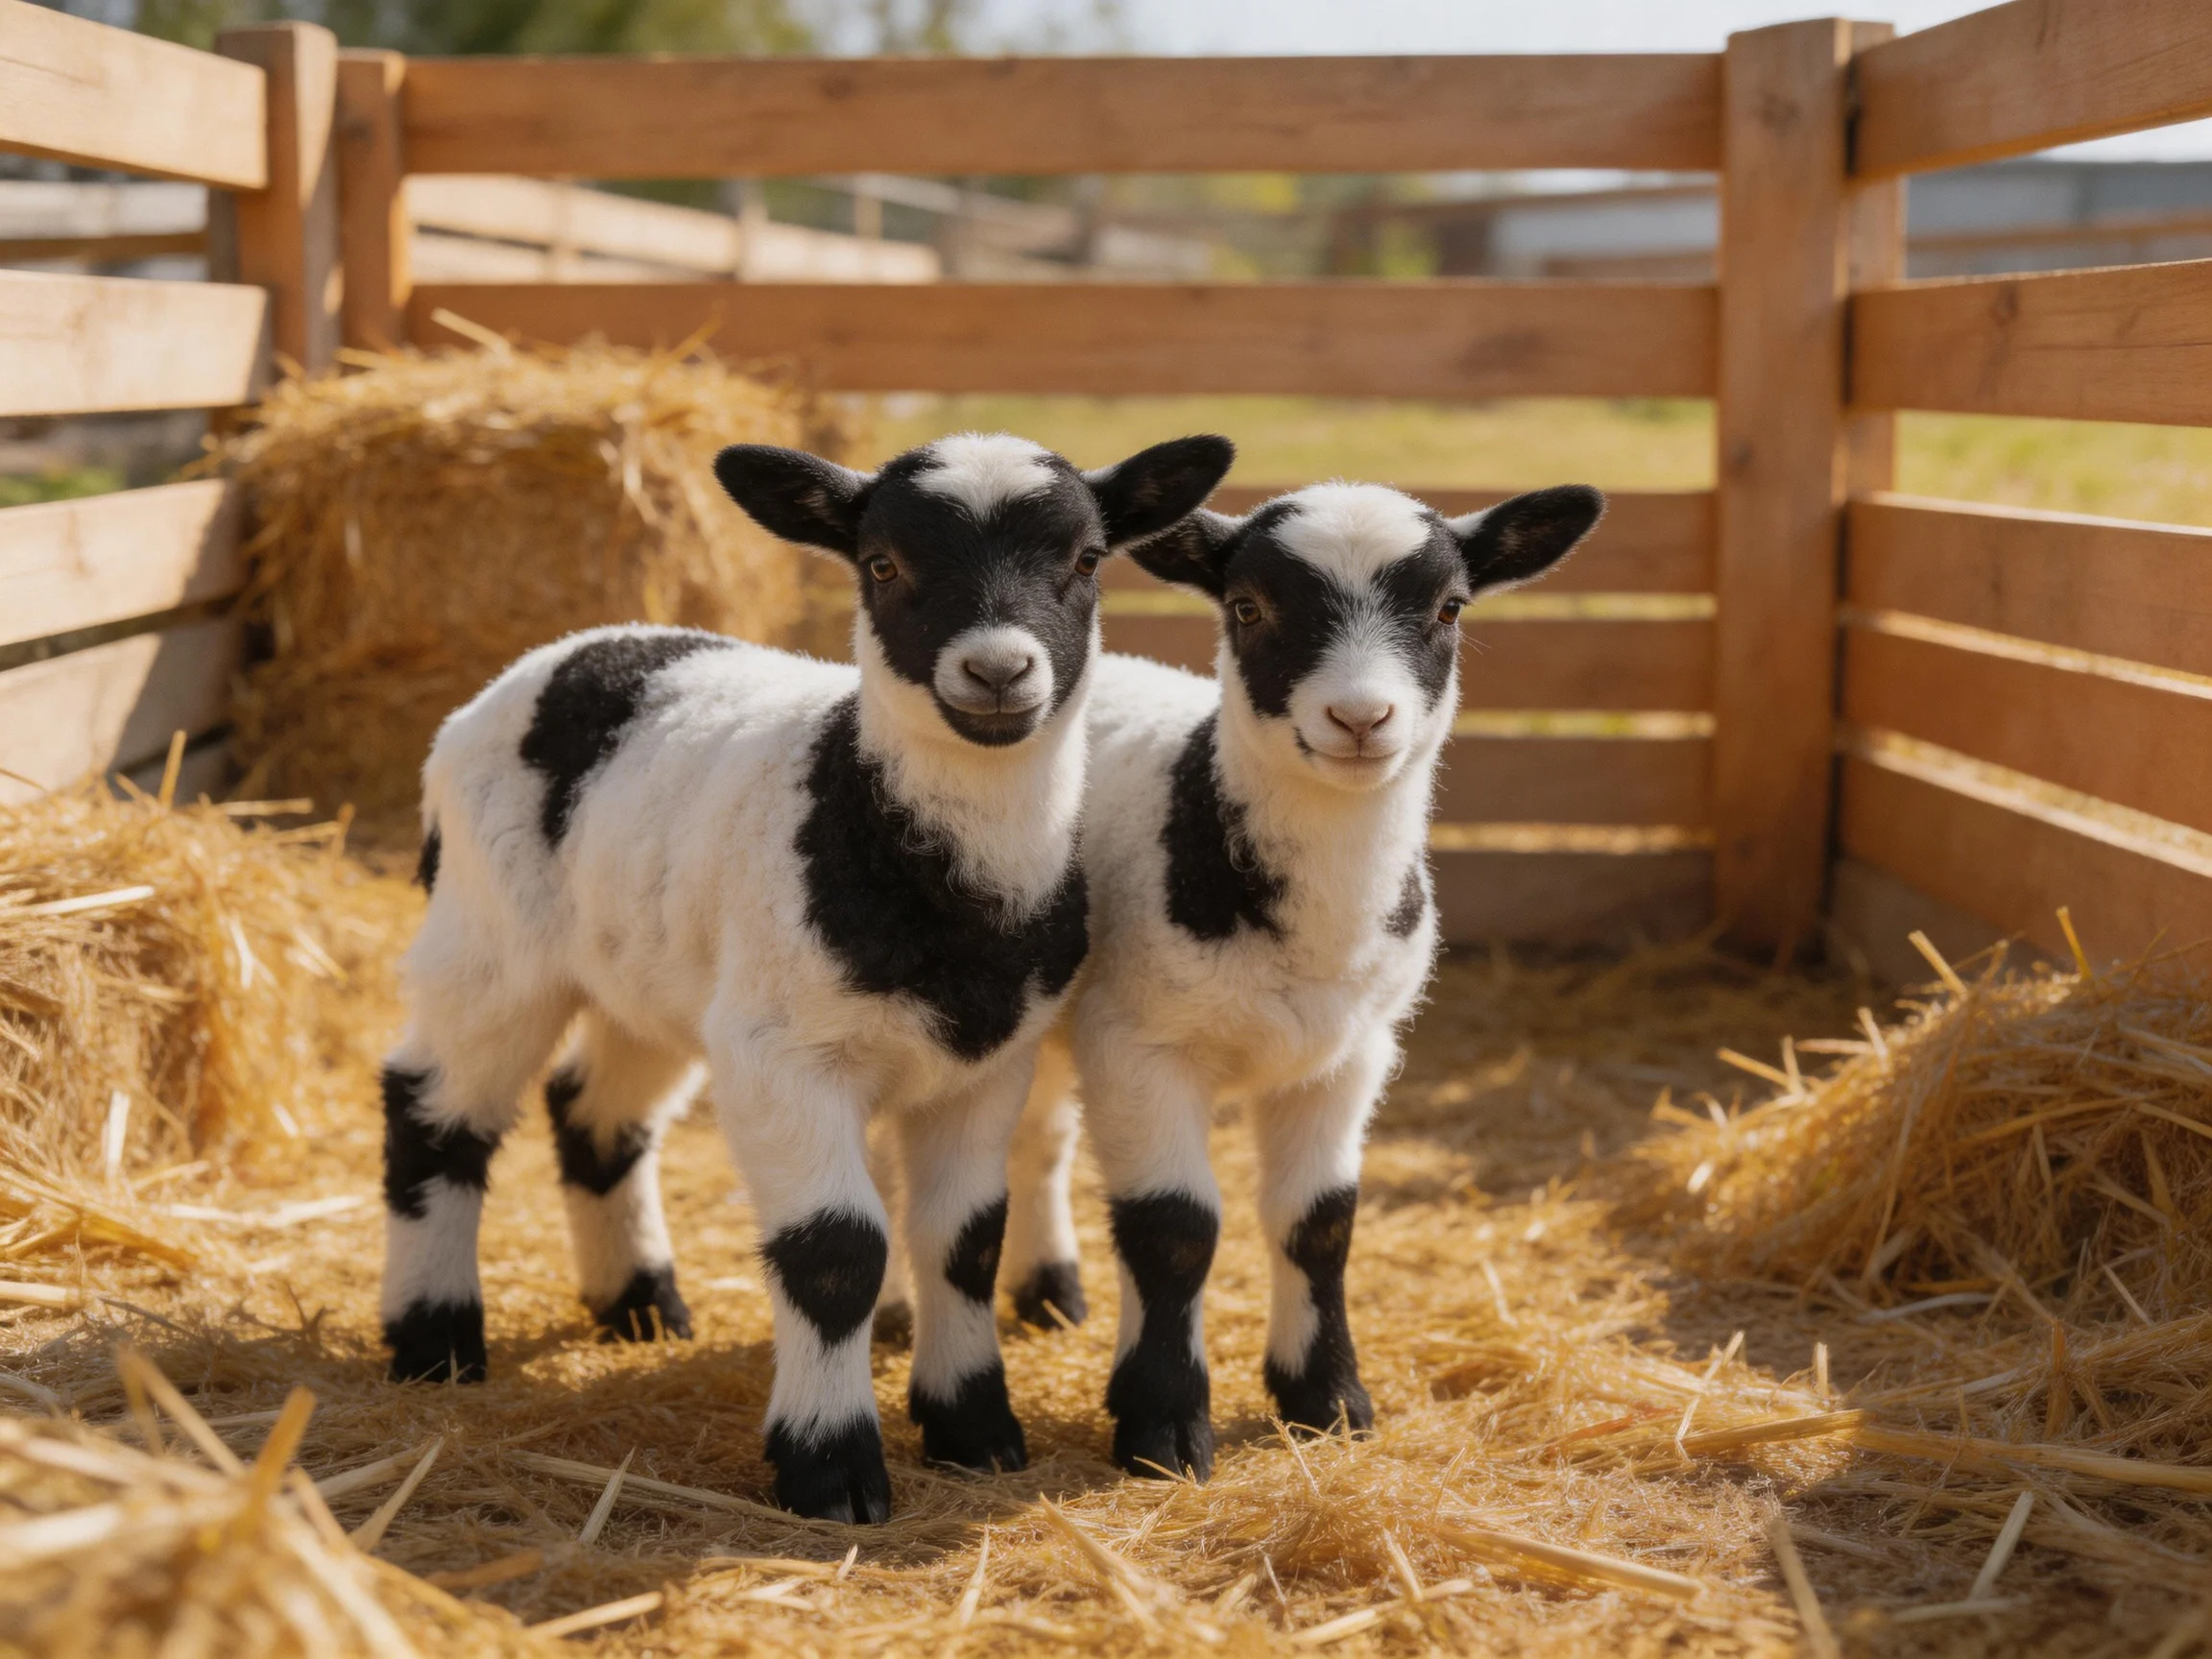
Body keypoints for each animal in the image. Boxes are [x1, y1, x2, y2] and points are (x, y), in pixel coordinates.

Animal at [376, 429, 1236, 1523]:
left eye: (1085, 560)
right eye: (883, 565)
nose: (998, 670)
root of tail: (571, 649)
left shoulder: (984, 1065)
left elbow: (964, 1238)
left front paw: (974, 1432)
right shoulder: (782, 1056)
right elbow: (836, 1250)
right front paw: (832, 1469)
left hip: (652, 978)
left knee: (594, 1111)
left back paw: (637, 1303)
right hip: (492, 933)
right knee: (434, 1108)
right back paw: (434, 1337)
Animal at [998, 481, 1605, 1479]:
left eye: (1449, 608)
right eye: (1249, 608)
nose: (1361, 721)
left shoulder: (1349, 1056)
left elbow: (1318, 1223)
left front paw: (1326, 1401)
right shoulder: (1140, 1046)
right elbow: (1173, 1229)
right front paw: (1164, 1427)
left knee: (1040, 1138)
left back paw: (1049, 1290)